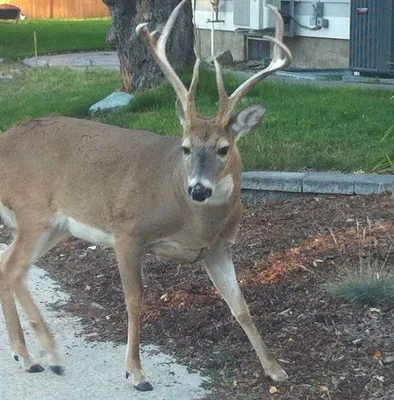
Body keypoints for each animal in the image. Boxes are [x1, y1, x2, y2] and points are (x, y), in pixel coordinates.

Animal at [0, 0, 290, 392]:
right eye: (185, 147)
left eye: (224, 148)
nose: (199, 189)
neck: (188, 213)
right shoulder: (128, 232)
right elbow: (135, 301)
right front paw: (136, 373)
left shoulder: (218, 247)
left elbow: (240, 305)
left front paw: (274, 368)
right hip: (33, 211)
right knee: (14, 269)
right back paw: (47, 357)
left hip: (54, 227)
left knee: (7, 265)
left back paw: (25, 354)